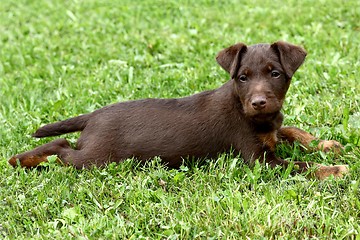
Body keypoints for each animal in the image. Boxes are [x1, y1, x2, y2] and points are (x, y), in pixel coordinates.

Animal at [9, 41, 348, 179]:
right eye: (242, 78)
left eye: (274, 73)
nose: (259, 102)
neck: (246, 109)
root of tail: (94, 115)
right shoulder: (259, 160)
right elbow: (299, 165)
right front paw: (333, 170)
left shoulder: (272, 129)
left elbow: (291, 129)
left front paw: (326, 145)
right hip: (97, 158)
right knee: (61, 148)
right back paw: (22, 159)